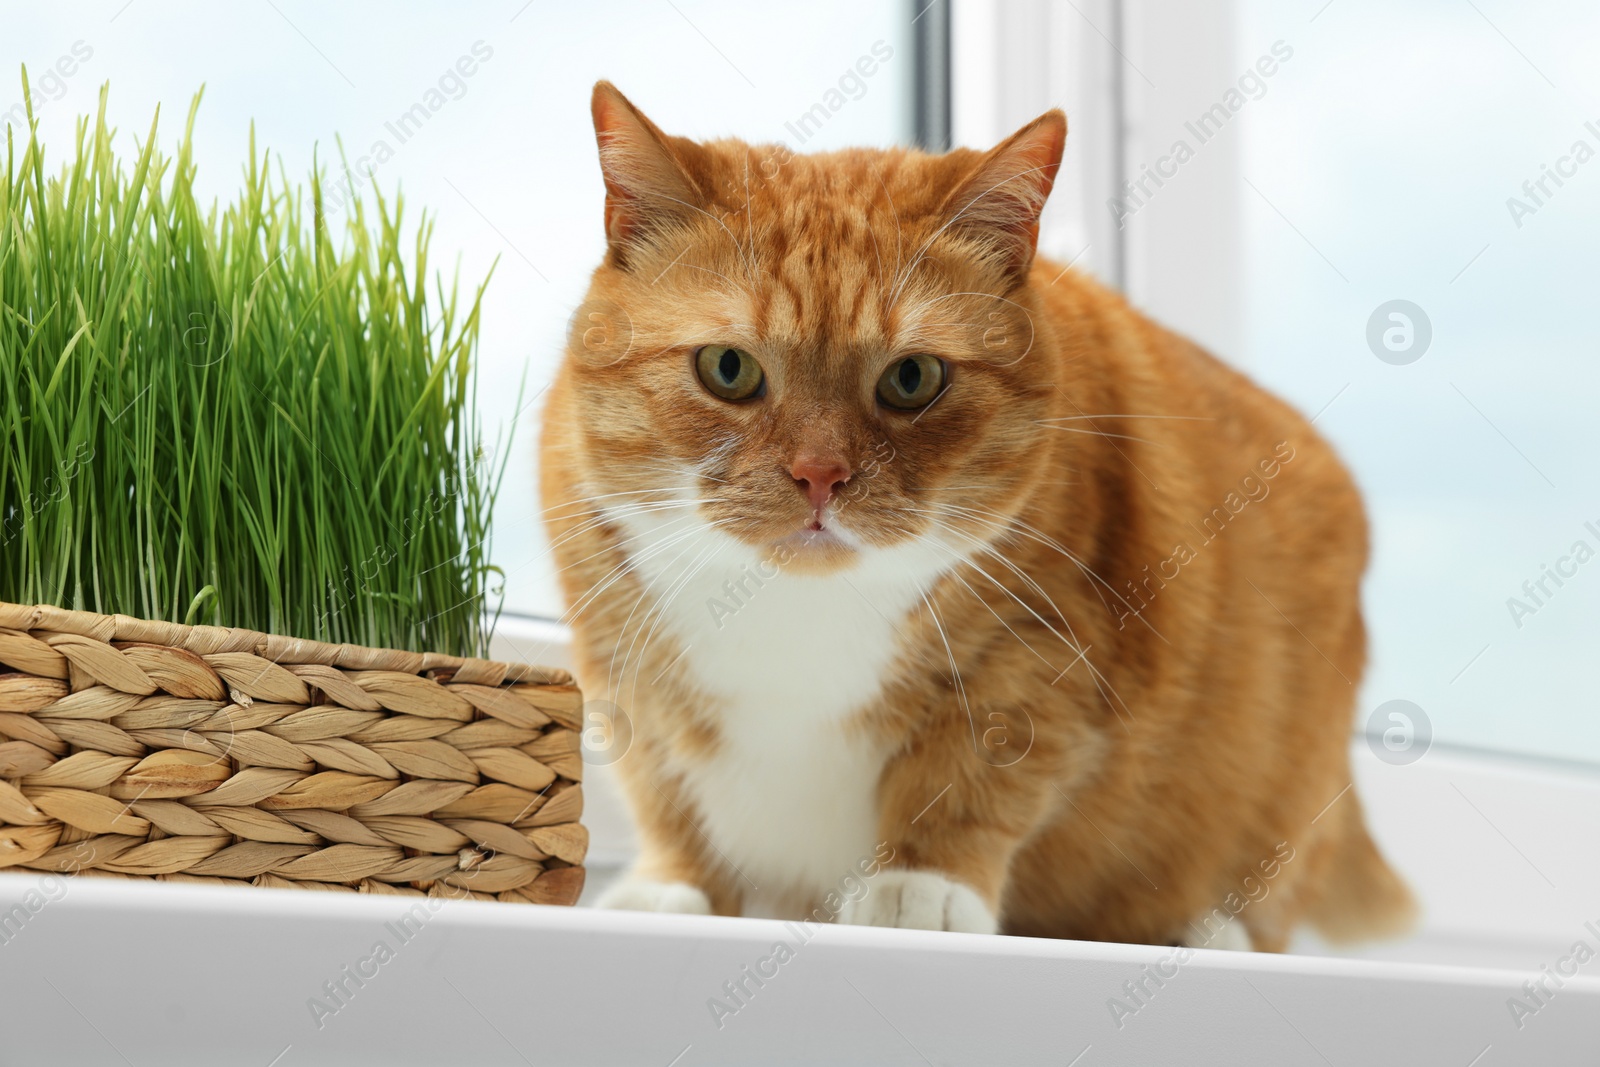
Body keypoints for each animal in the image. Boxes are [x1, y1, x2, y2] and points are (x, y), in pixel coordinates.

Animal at [547, 83, 1414, 953]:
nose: (820, 474)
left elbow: (969, 777)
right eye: (728, 368)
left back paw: (1206, 931)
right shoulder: (623, 669)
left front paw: (921, 886)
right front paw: (673, 887)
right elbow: (666, 794)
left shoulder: (1040, 654)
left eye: (912, 378)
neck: (798, 617)